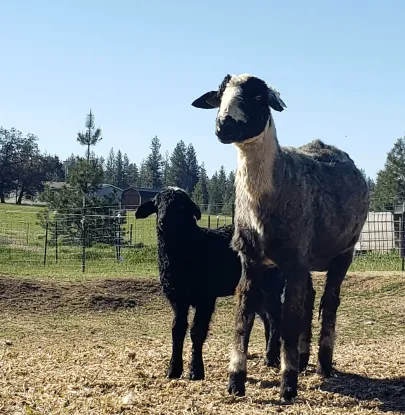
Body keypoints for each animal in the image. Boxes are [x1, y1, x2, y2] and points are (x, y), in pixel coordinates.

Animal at [134, 188, 314, 384]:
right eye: (157, 204)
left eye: (181, 206)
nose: (163, 222)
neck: (191, 247)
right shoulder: (177, 298)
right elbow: (177, 330)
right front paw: (173, 370)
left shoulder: (206, 297)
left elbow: (197, 331)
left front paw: (196, 371)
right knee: (270, 318)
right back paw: (272, 356)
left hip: (273, 283)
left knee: (278, 317)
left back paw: (273, 357)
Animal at [191, 73, 370, 402]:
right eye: (219, 96)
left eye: (258, 97)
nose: (224, 126)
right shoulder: (250, 260)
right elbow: (243, 318)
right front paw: (235, 382)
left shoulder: (295, 260)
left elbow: (287, 321)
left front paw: (288, 387)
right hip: (306, 257)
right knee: (310, 298)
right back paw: (302, 359)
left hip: (344, 251)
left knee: (329, 300)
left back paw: (323, 364)